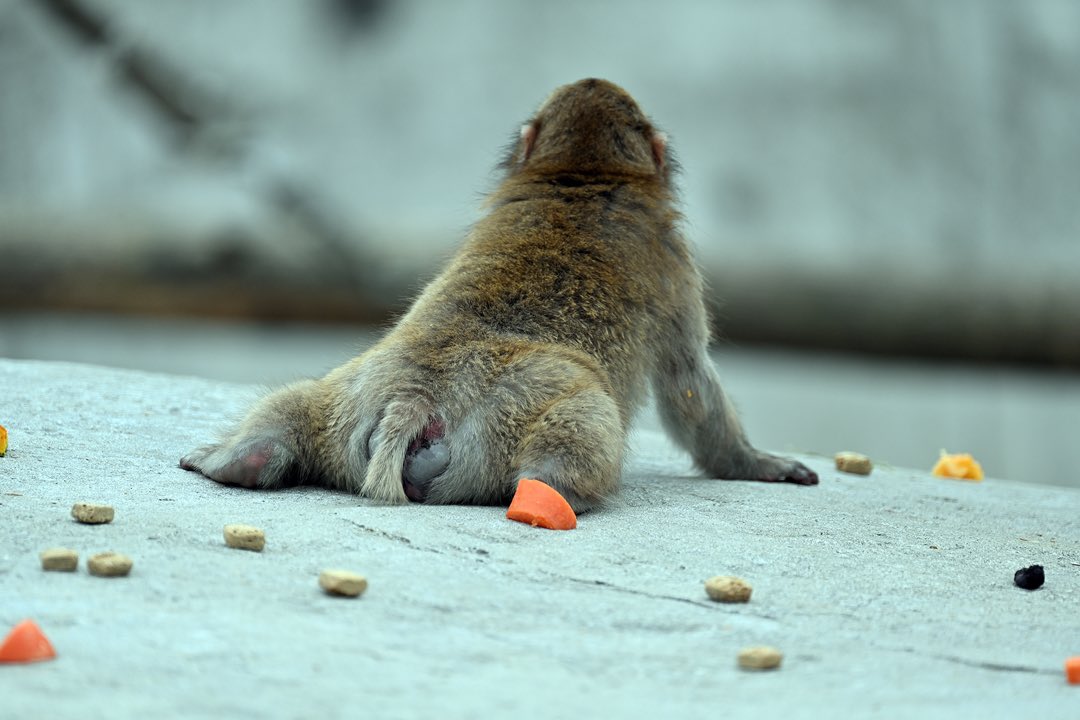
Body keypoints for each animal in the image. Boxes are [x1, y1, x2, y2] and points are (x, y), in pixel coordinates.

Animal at [180, 78, 818, 512]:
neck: (581, 174)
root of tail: (413, 400)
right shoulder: (676, 267)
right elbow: (688, 383)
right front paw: (754, 463)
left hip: (343, 401)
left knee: (294, 404)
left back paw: (238, 460)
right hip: (506, 424)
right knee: (587, 418)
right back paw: (551, 490)